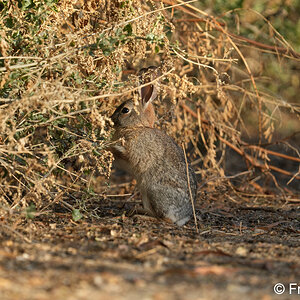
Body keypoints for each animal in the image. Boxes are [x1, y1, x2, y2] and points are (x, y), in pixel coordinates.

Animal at [110, 66, 197, 225]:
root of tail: (183, 217)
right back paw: (136, 210)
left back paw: (140, 216)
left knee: (164, 218)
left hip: (153, 191)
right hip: (145, 192)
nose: (111, 119)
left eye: (125, 110)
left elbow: (124, 152)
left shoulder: (136, 152)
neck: (138, 127)